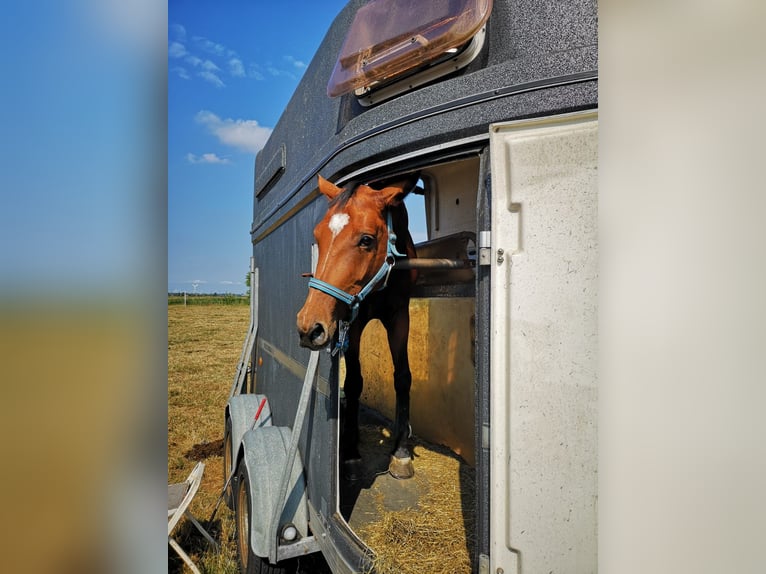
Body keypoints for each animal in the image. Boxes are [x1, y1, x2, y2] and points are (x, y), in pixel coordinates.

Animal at [296, 175, 418, 480]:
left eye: (366, 239)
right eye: (317, 236)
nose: (308, 327)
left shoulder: (400, 316)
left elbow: (402, 377)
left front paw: (401, 452)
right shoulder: (352, 322)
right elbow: (353, 383)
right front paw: (350, 453)